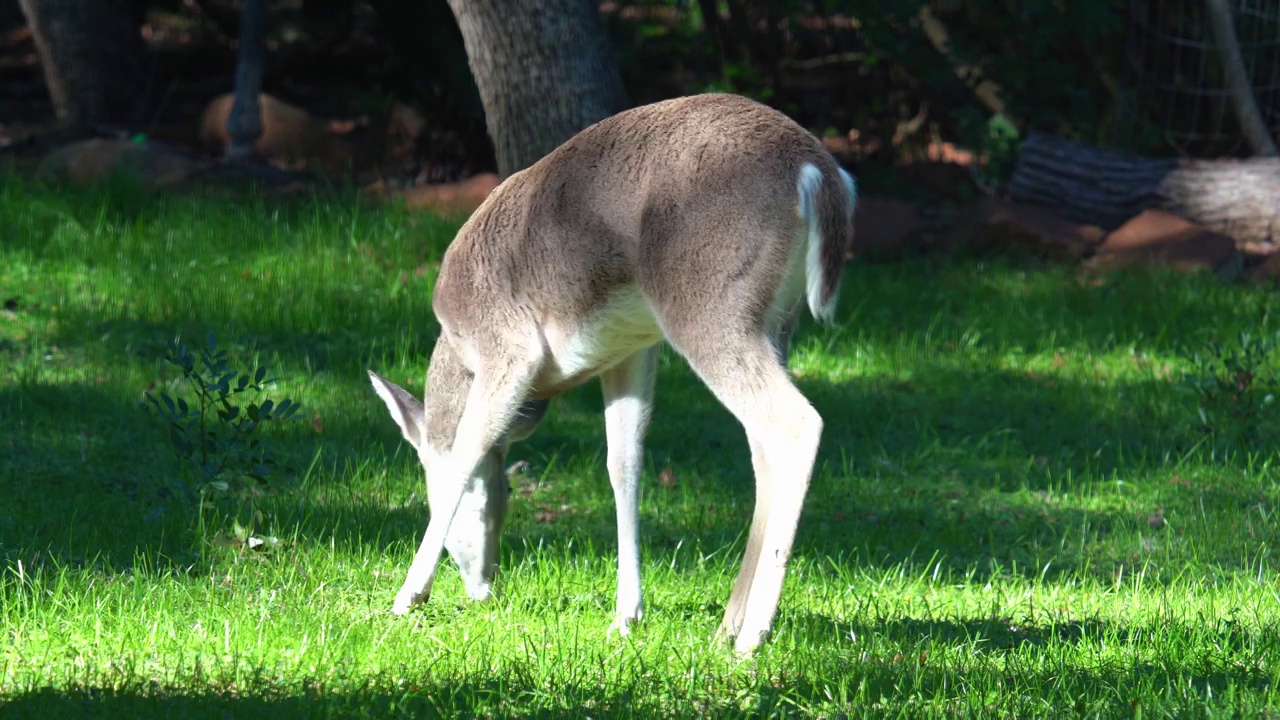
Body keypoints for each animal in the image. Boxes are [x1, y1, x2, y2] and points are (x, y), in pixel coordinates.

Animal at [366, 92, 855, 653]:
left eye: (426, 478)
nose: (482, 585)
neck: (459, 347)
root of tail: (819, 173)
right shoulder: (629, 351)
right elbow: (624, 465)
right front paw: (626, 615)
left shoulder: (509, 347)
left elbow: (468, 448)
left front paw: (408, 595)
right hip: (776, 324)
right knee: (763, 447)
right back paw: (727, 624)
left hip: (709, 307)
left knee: (798, 423)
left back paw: (752, 635)